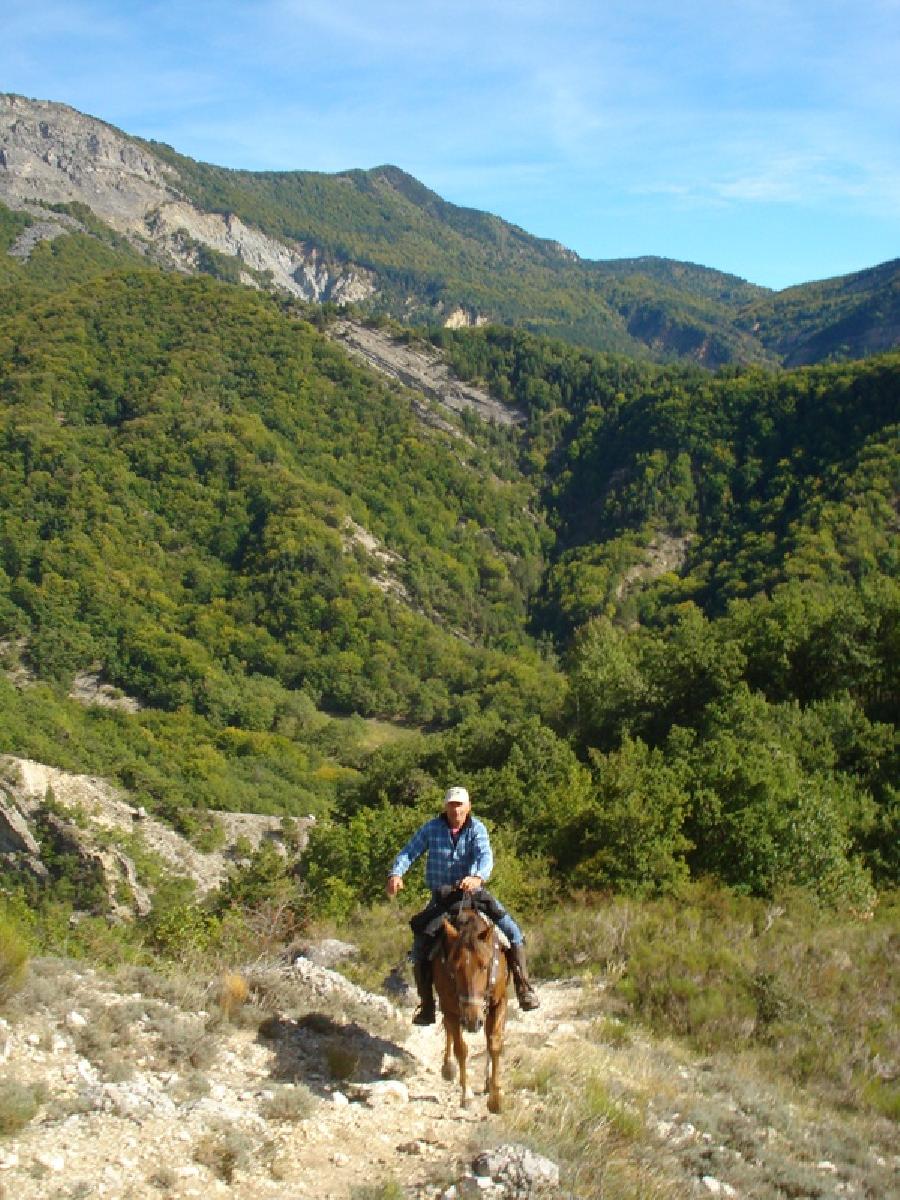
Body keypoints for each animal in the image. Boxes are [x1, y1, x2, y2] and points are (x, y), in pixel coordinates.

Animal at [429, 907, 508, 1113]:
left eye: (485, 965)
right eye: (454, 968)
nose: (472, 1021)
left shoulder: (499, 1002)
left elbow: (494, 1043)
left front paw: (496, 1098)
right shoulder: (450, 1009)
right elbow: (461, 1049)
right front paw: (467, 1095)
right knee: (448, 1030)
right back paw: (448, 1067)